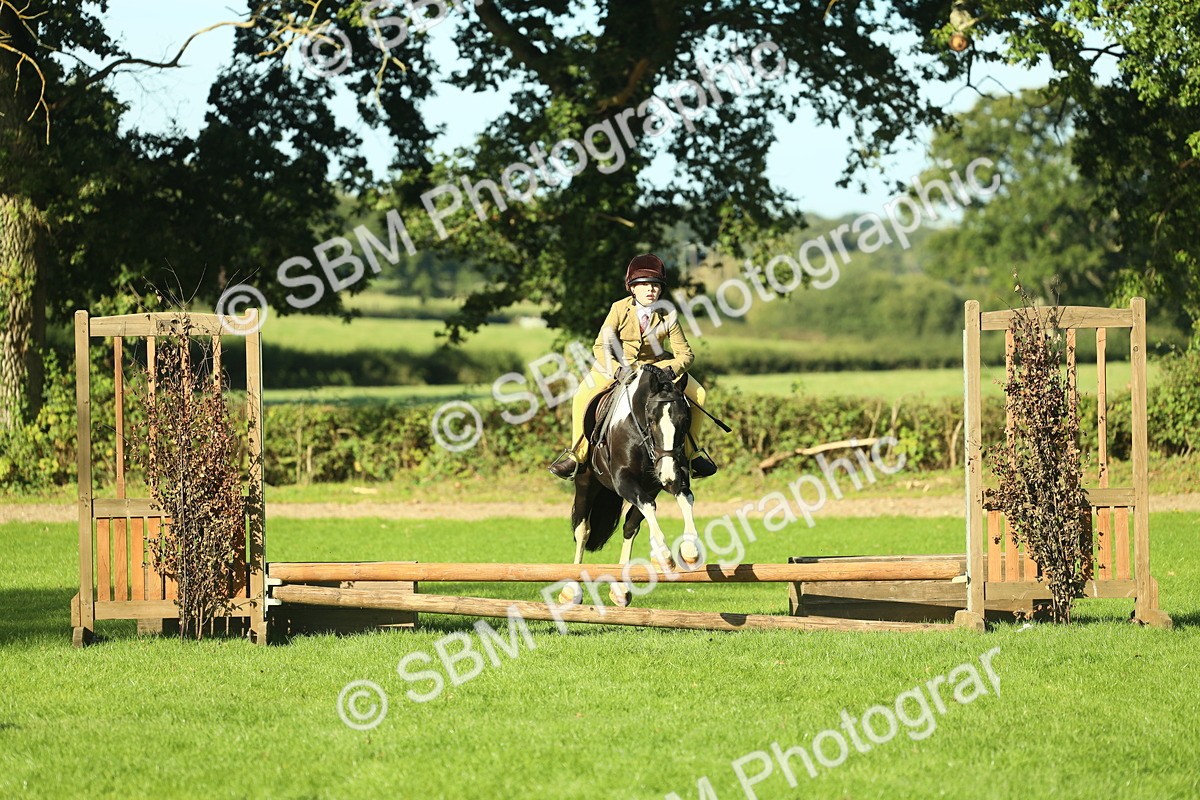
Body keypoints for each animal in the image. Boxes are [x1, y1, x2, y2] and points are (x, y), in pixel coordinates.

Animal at [564, 363, 702, 607]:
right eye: (652, 419)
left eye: (686, 421)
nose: (667, 475)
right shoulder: (623, 480)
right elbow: (649, 506)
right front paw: (663, 555)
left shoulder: (665, 478)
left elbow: (685, 500)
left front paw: (689, 551)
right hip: (585, 483)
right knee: (583, 529)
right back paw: (571, 590)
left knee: (630, 526)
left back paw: (620, 589)